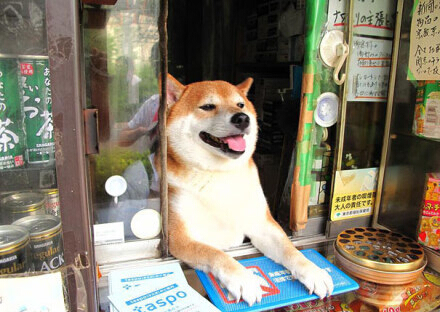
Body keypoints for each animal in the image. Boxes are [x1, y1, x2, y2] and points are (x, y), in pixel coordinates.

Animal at [162, 74, 334, 306]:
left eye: (240, 104)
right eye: (207, 106)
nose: (242, 118)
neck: (220, 175)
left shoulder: (262, 223)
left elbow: (290, 249)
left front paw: (313, 271)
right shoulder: (180, 237)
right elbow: (215, 253)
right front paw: (243, 278)